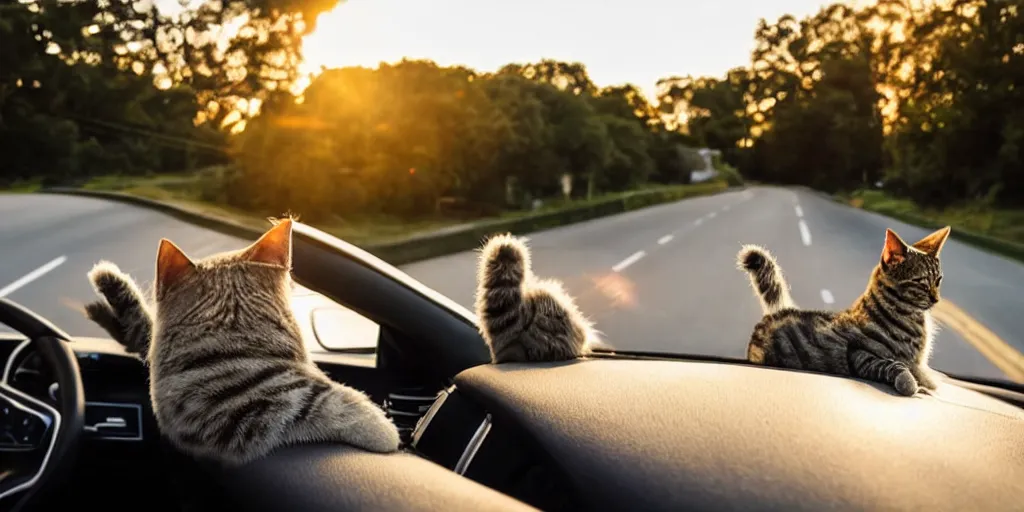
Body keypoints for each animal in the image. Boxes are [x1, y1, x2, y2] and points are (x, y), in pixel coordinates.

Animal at [737, 226, 950, 397]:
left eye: (938, 280)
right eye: (921, 283)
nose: (936, 299)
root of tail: (779, 311)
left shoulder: (918, 363)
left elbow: (923, 372)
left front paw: (930, 382)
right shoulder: (861, 356)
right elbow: (896, 366)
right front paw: (913, 385)